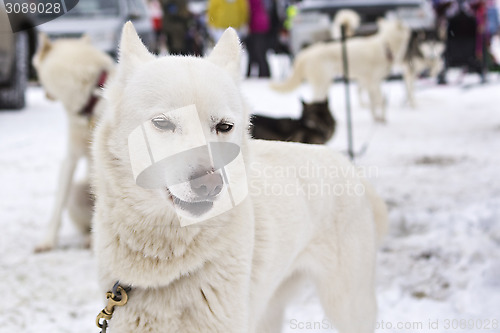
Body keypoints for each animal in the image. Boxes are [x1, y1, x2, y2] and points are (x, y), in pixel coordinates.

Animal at [272, 14, 408, 122]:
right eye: (406, 29)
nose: (410, 30)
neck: (385, 46)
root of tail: (306, 53)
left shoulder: (370, 82)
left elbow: (374, 103)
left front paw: (376, 117)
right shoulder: (374, 83)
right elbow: (380, 101)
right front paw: (381, 118)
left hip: (326, 84)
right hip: (322, 84)